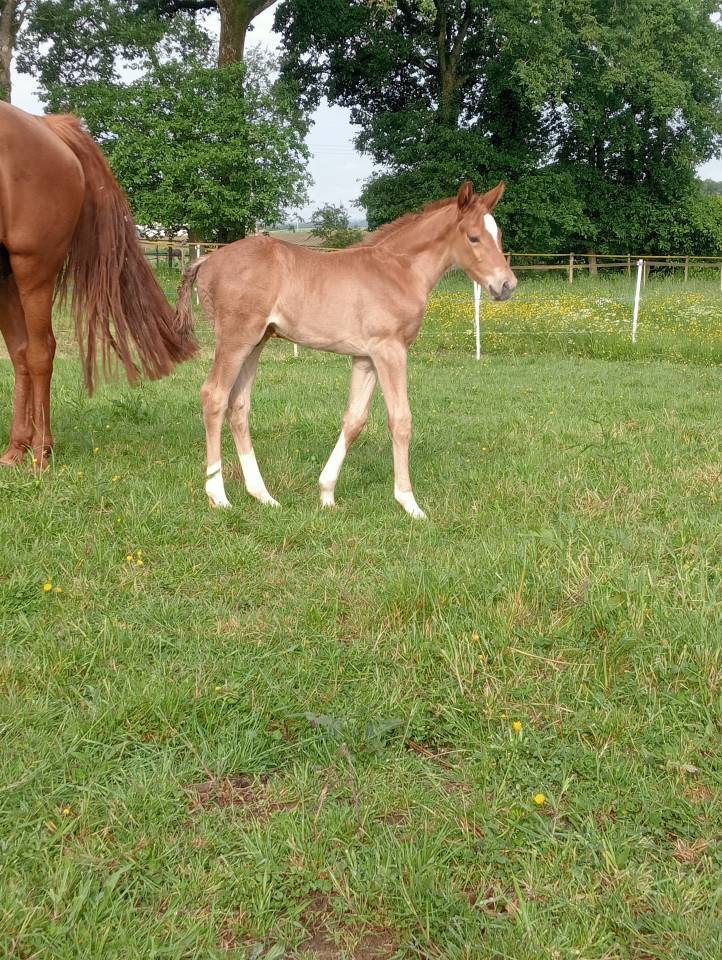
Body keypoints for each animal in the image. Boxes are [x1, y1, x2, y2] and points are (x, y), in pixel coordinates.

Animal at [0, 101, 197, 467]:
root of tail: (47, 127)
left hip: (32, 266)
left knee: (39, 352)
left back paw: (40, 452)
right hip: (5, 273)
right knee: (21, 353)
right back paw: (16, 449)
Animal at [175, 180, 517, 519]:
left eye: (498, 234)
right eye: (473, 237)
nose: (507, 285)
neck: (399, 270)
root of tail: (207, 260)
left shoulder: (365, 357)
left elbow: (354, 420)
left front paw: (326, 493)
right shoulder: (390, 350)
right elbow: (400, 420)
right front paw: (409, 503)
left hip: (256, 343)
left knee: (239, 406)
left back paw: (263, 496)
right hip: (235, 340)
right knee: (214, 396)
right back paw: (218, 496)